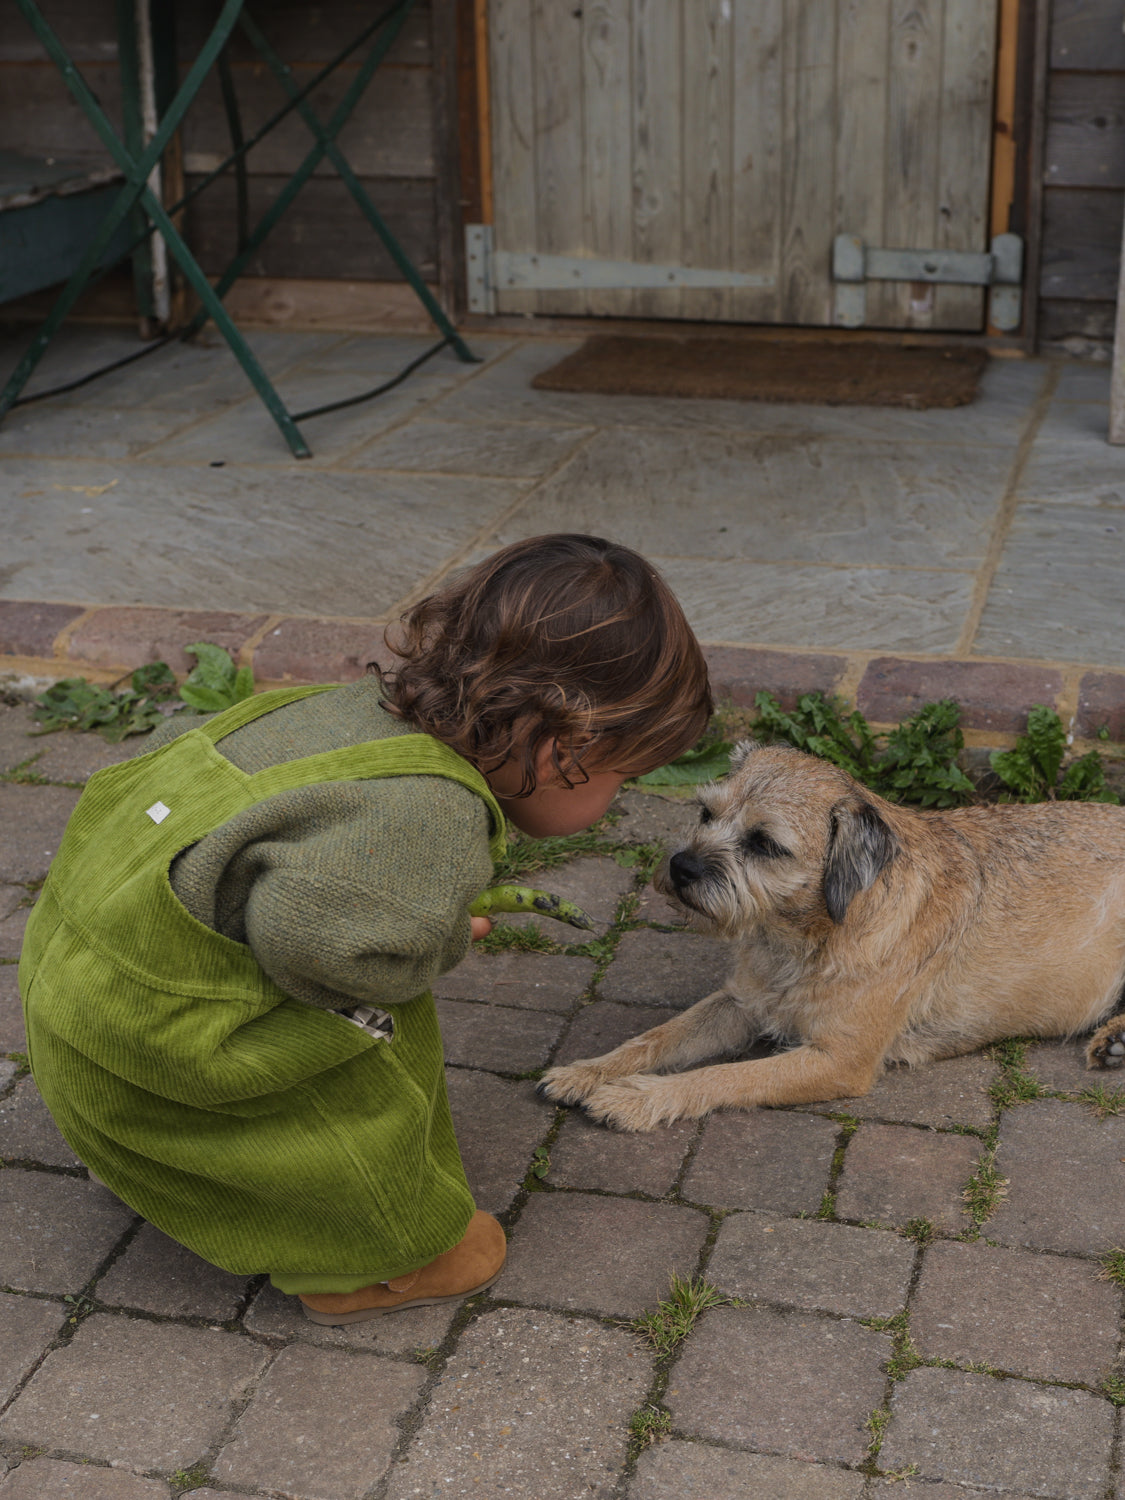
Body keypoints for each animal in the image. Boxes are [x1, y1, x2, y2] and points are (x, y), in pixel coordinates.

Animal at [540, 732, 1125, 1128]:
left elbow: (725, 1076)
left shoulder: (838, 1061)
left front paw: (637, 1097)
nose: (682, 867)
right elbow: (657, 1036)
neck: (800, 938)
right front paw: (589, 1071)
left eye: (765, 843)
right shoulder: (739, 1003)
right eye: (705, 813)